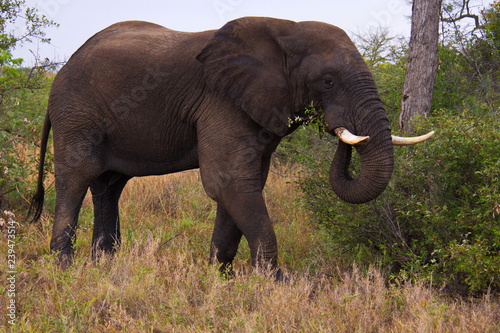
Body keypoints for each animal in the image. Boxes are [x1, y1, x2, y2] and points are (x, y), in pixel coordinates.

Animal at [29, 16, 432, 274]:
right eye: (328, 81)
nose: (338, 130)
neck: (287, 29)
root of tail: (61, 71)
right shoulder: (221, 101)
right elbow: (230, 182)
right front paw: (271, 284)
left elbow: (241, 186)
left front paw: (218, 278)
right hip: (76, 113)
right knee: (76, 179)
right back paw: (64, 268)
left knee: (109, 186)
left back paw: (105, 265)